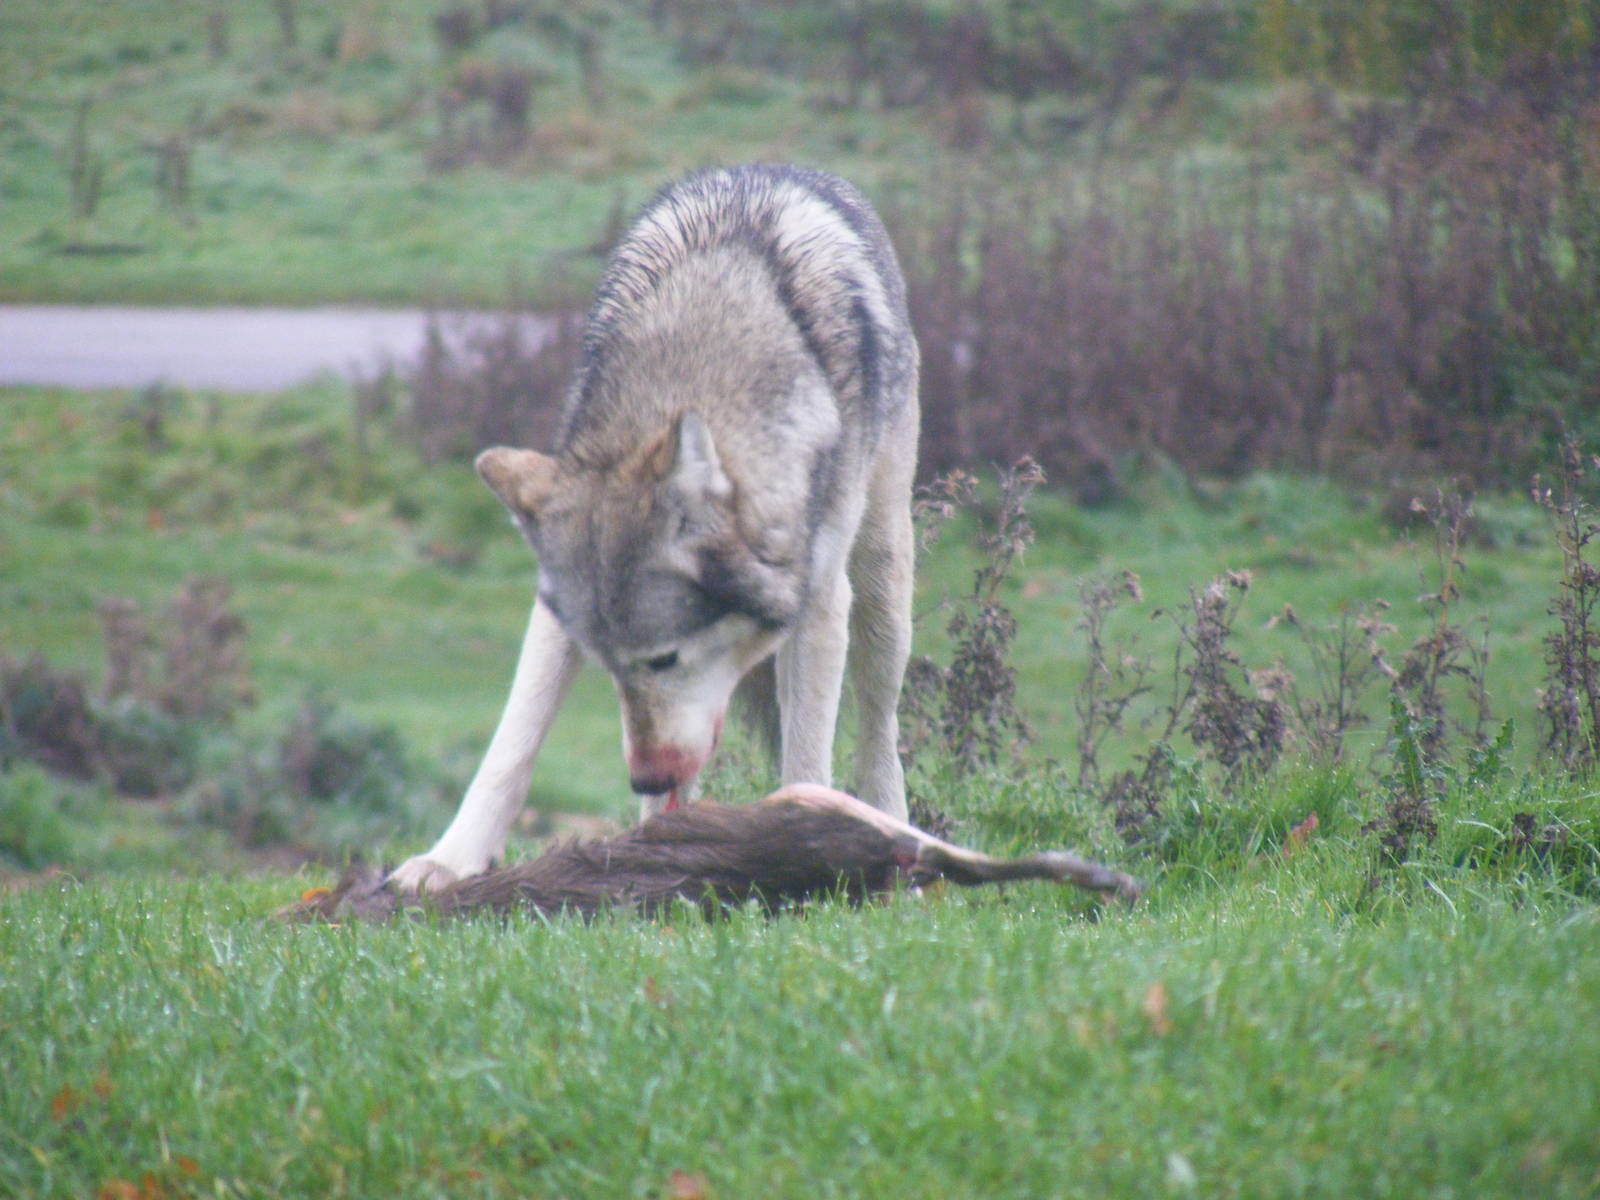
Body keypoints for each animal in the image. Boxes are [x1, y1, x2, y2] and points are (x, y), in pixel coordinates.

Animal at [390, 165, 920, 891]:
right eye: (607, 663)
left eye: (665, 659)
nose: (643, 775)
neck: (701, 355)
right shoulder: (555, 612)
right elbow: (513, 742)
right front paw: (451, 860)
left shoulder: (818, 606)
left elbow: (810, 757)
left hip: (880, 586)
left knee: (879, 721)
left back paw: (892, 826)